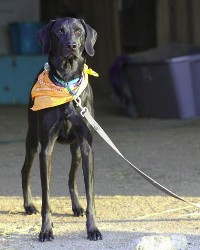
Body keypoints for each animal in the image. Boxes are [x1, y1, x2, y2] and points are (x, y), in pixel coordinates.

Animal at [20, 16, 101, 241]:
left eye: (78, 32)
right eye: (59, 32)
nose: (71, 46)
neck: (66, 82)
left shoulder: (86, 147)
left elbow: (90, 194)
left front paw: (93, 228)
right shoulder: (46, 149)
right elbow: (46, 198)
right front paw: (46, 230)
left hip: (77, 150)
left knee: (71, 179)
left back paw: (76, 206)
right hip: (32, 141)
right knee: (25, 170)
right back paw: (28, 205)